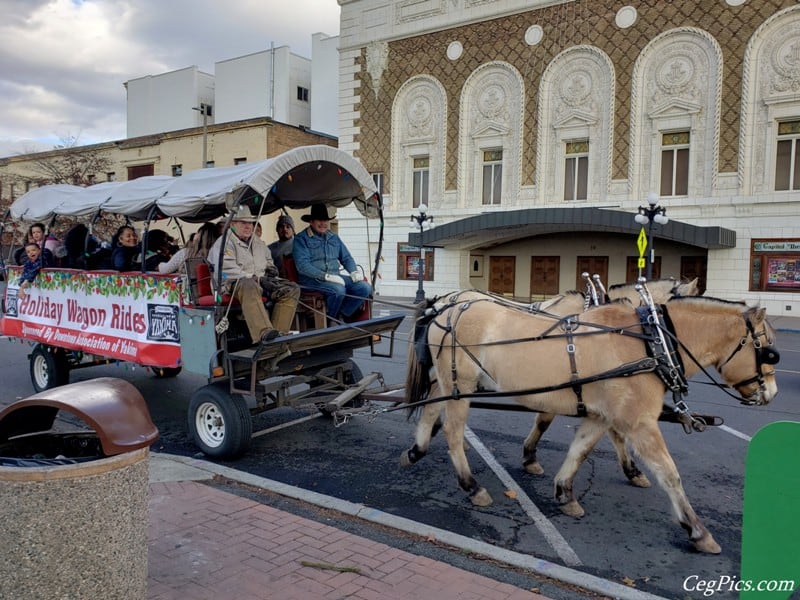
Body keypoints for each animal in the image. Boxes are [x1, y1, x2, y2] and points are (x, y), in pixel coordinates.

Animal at [404, 296, 780, 552]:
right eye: (767, 350)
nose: (772, 393)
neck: (651, 343)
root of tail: (444, 310)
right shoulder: (639, 422)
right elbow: (670, 475)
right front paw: (697, 530)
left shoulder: (601, 415)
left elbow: (580, 452)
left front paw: (564, 492)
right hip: (460, 385)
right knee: (453, 431)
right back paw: (472, 486)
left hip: (447, 383)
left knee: (430, 409)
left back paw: (416, 449)